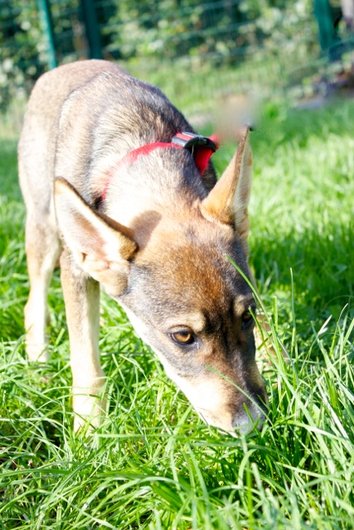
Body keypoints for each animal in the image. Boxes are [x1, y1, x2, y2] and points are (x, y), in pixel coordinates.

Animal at [17, 59, 266, 436]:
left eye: (247, 315)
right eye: (182, 336)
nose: (253, 426)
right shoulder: (76, 272)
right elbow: (86, 366)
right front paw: (89, 433)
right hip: (44, 233)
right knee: (33, 304)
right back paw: (39, 365)